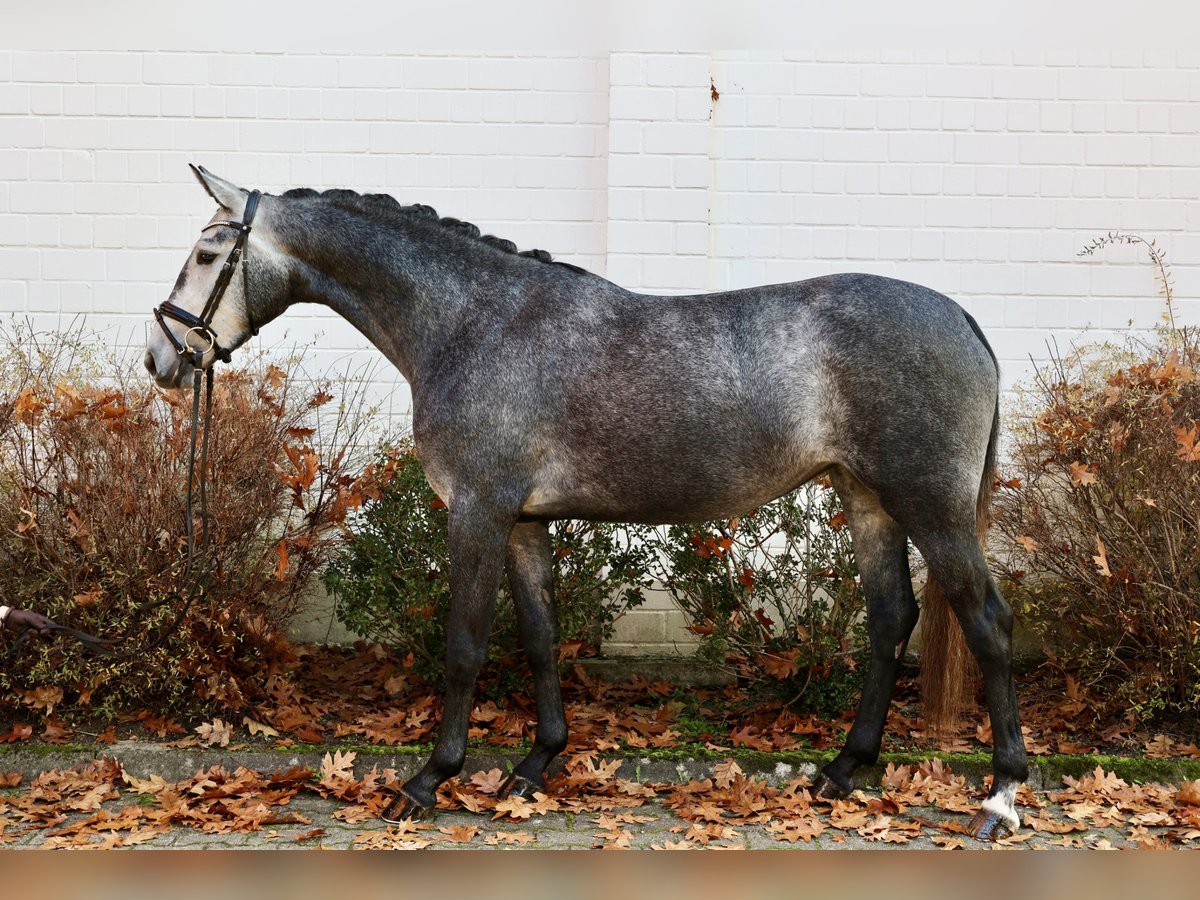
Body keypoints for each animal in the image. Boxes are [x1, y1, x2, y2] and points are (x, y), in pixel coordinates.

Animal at [147, 165, 1032, 844]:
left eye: (206, 251)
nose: (162, 356)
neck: (473, 323)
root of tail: (960, 316)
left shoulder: (476, 511)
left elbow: (465, 645)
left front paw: (429, 780)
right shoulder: (524, 521)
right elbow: (540, 637)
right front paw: (536, 765)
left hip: (934, 510)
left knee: (987, 625)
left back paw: (1000, 796)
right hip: (868, 501)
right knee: (890, 619)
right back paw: (844, 770)